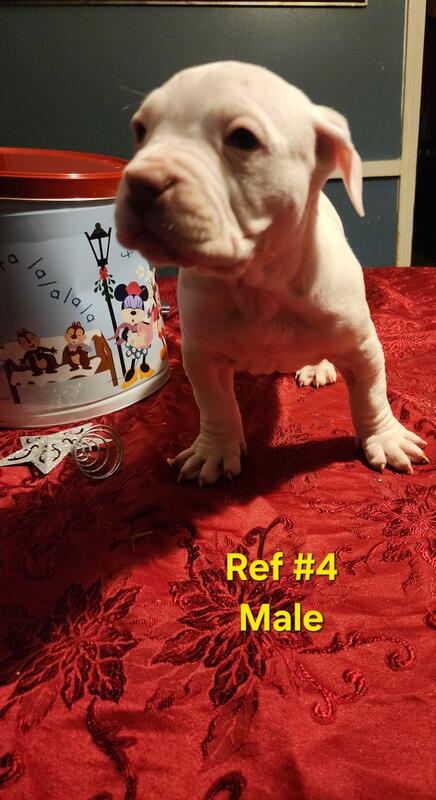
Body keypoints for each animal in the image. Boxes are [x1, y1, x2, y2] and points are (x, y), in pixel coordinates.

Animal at [115, 61, 428, 485]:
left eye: (243, 139)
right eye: (140, 130)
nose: (139, 181)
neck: (258, 283)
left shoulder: (362, 347)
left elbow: (372, 395)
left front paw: (385, 436)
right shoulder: (202, 356)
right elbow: (216, 406)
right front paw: (214, 451)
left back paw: (317, 365)